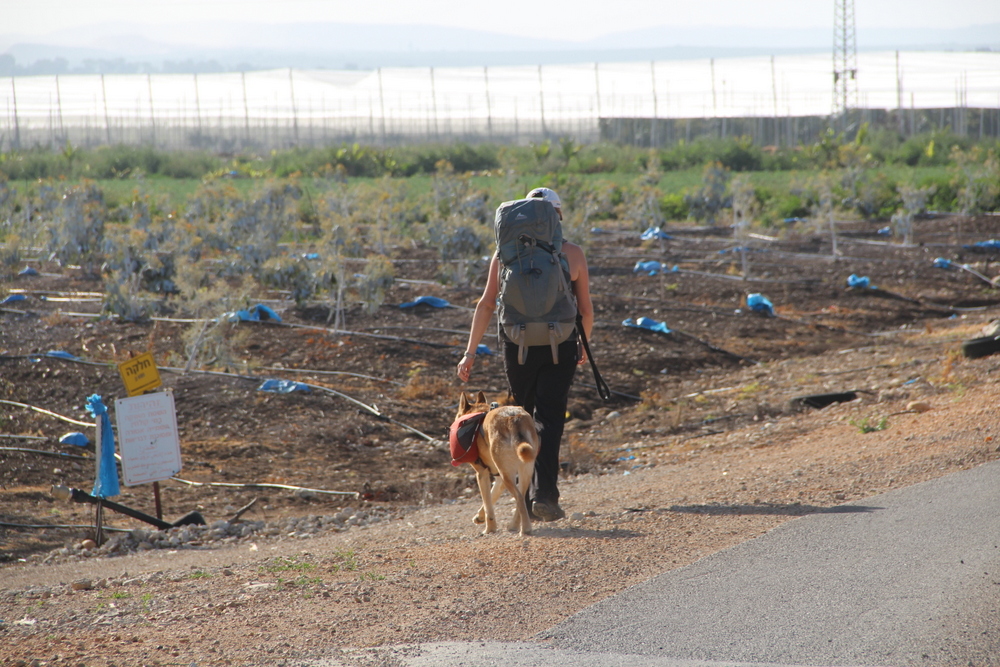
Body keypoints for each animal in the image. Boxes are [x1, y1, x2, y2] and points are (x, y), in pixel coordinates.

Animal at [454, 391, 538, 536]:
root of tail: (513, 418)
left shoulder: (482, 474)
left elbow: (488, 504)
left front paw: (489, 528)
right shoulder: (499, 478)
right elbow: (492, 496)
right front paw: (479, 517)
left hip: (508, 476)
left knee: (519, 498)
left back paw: (525, 529)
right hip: (523, 471)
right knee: (521, 498)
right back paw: (514, 525)